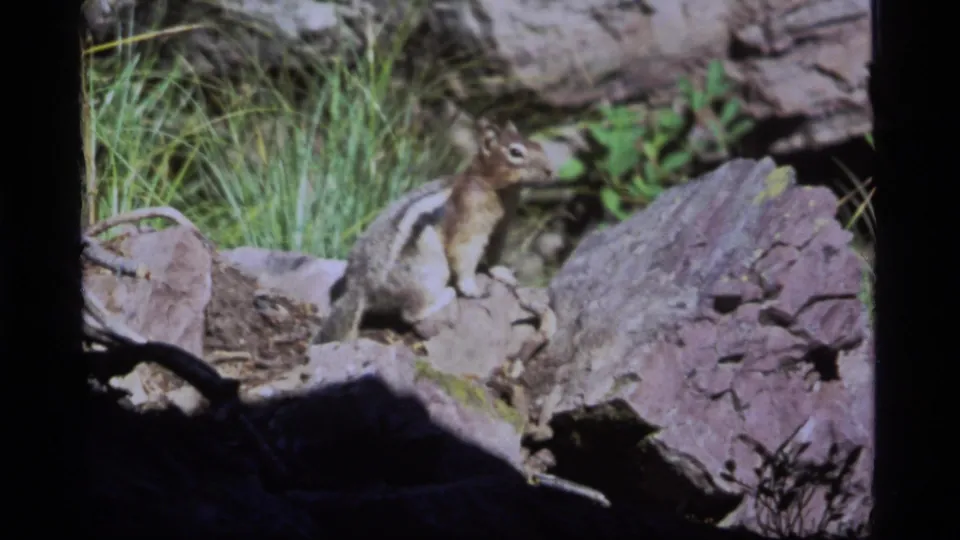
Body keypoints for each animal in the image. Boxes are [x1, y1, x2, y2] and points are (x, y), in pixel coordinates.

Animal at [313, 118, 555, 344]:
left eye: (538, 145)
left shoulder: (501, 226)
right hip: (431, 271)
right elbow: (464, 253)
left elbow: (495, 253)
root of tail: (360, 288)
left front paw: (503, 273)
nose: (551, 170)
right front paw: (473, 289)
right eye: (515, 152)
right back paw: (445, 295)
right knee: (411, 313)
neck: (491, 186)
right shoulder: (470, 223)